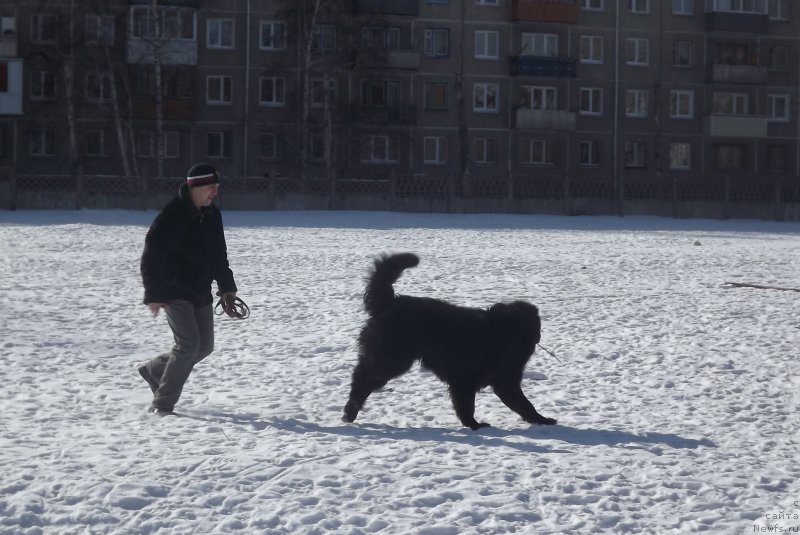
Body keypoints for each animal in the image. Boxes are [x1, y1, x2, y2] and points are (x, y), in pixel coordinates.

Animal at [342, 253, 556, 434]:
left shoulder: (504, 381)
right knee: (362, 376)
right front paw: (474, 425)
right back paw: (350, 410)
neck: (501, 333)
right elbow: (468, 406)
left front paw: (541, 419)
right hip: (391, 359)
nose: (538, 337)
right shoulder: (465, 380)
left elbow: (524, 404)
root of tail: (389, 303)